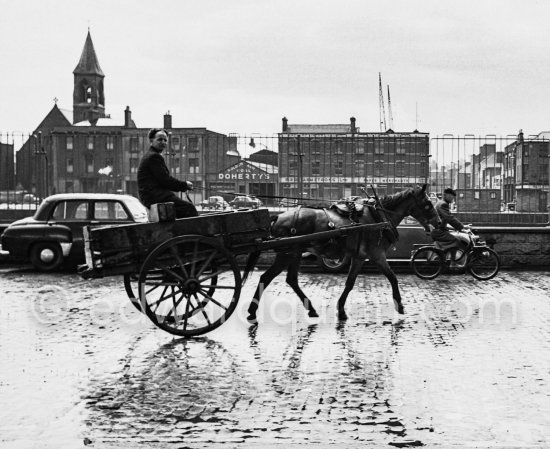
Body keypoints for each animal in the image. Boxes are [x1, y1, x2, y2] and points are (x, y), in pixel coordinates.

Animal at [244, 184, 442, 320]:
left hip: (295, 253)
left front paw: (340, 309)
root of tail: (278, 216)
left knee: (291, 279)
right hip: (287, 253)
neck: (379, 216)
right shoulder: (377, 255)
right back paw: (252, 310)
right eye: (427, 203)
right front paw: (399, 305)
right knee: (266, 277)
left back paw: (311, 309)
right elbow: (392, 278)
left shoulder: (359, 257)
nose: (440, 222)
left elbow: (349, 283)